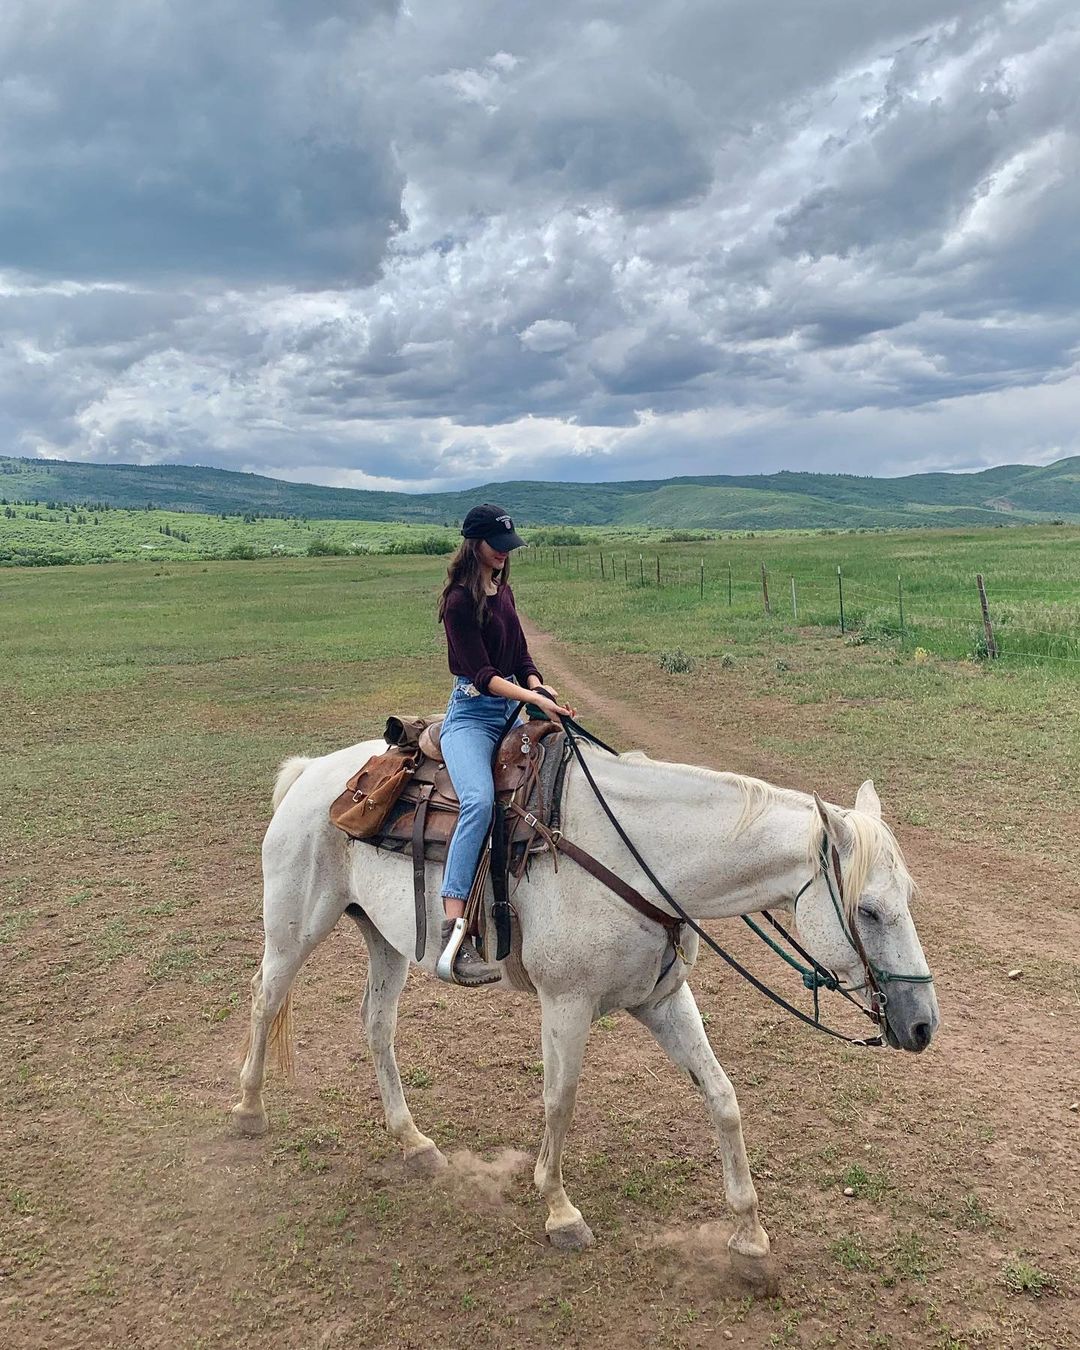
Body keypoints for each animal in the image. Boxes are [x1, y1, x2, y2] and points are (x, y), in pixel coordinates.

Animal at [233, 739, 934, 1263]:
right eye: (869, 911)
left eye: (907, 898)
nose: (922, 1025)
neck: (640, 859)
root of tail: (310, 774)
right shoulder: (566, 1004)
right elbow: (560, 1101)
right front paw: (559, 1211)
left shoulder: (662, 999)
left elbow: (722, 1096)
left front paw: (749, 1232)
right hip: (295, 928)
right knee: (265, 1001)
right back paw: (248, 1111)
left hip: (384, 939)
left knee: (376, 1026)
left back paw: (413, 1141)